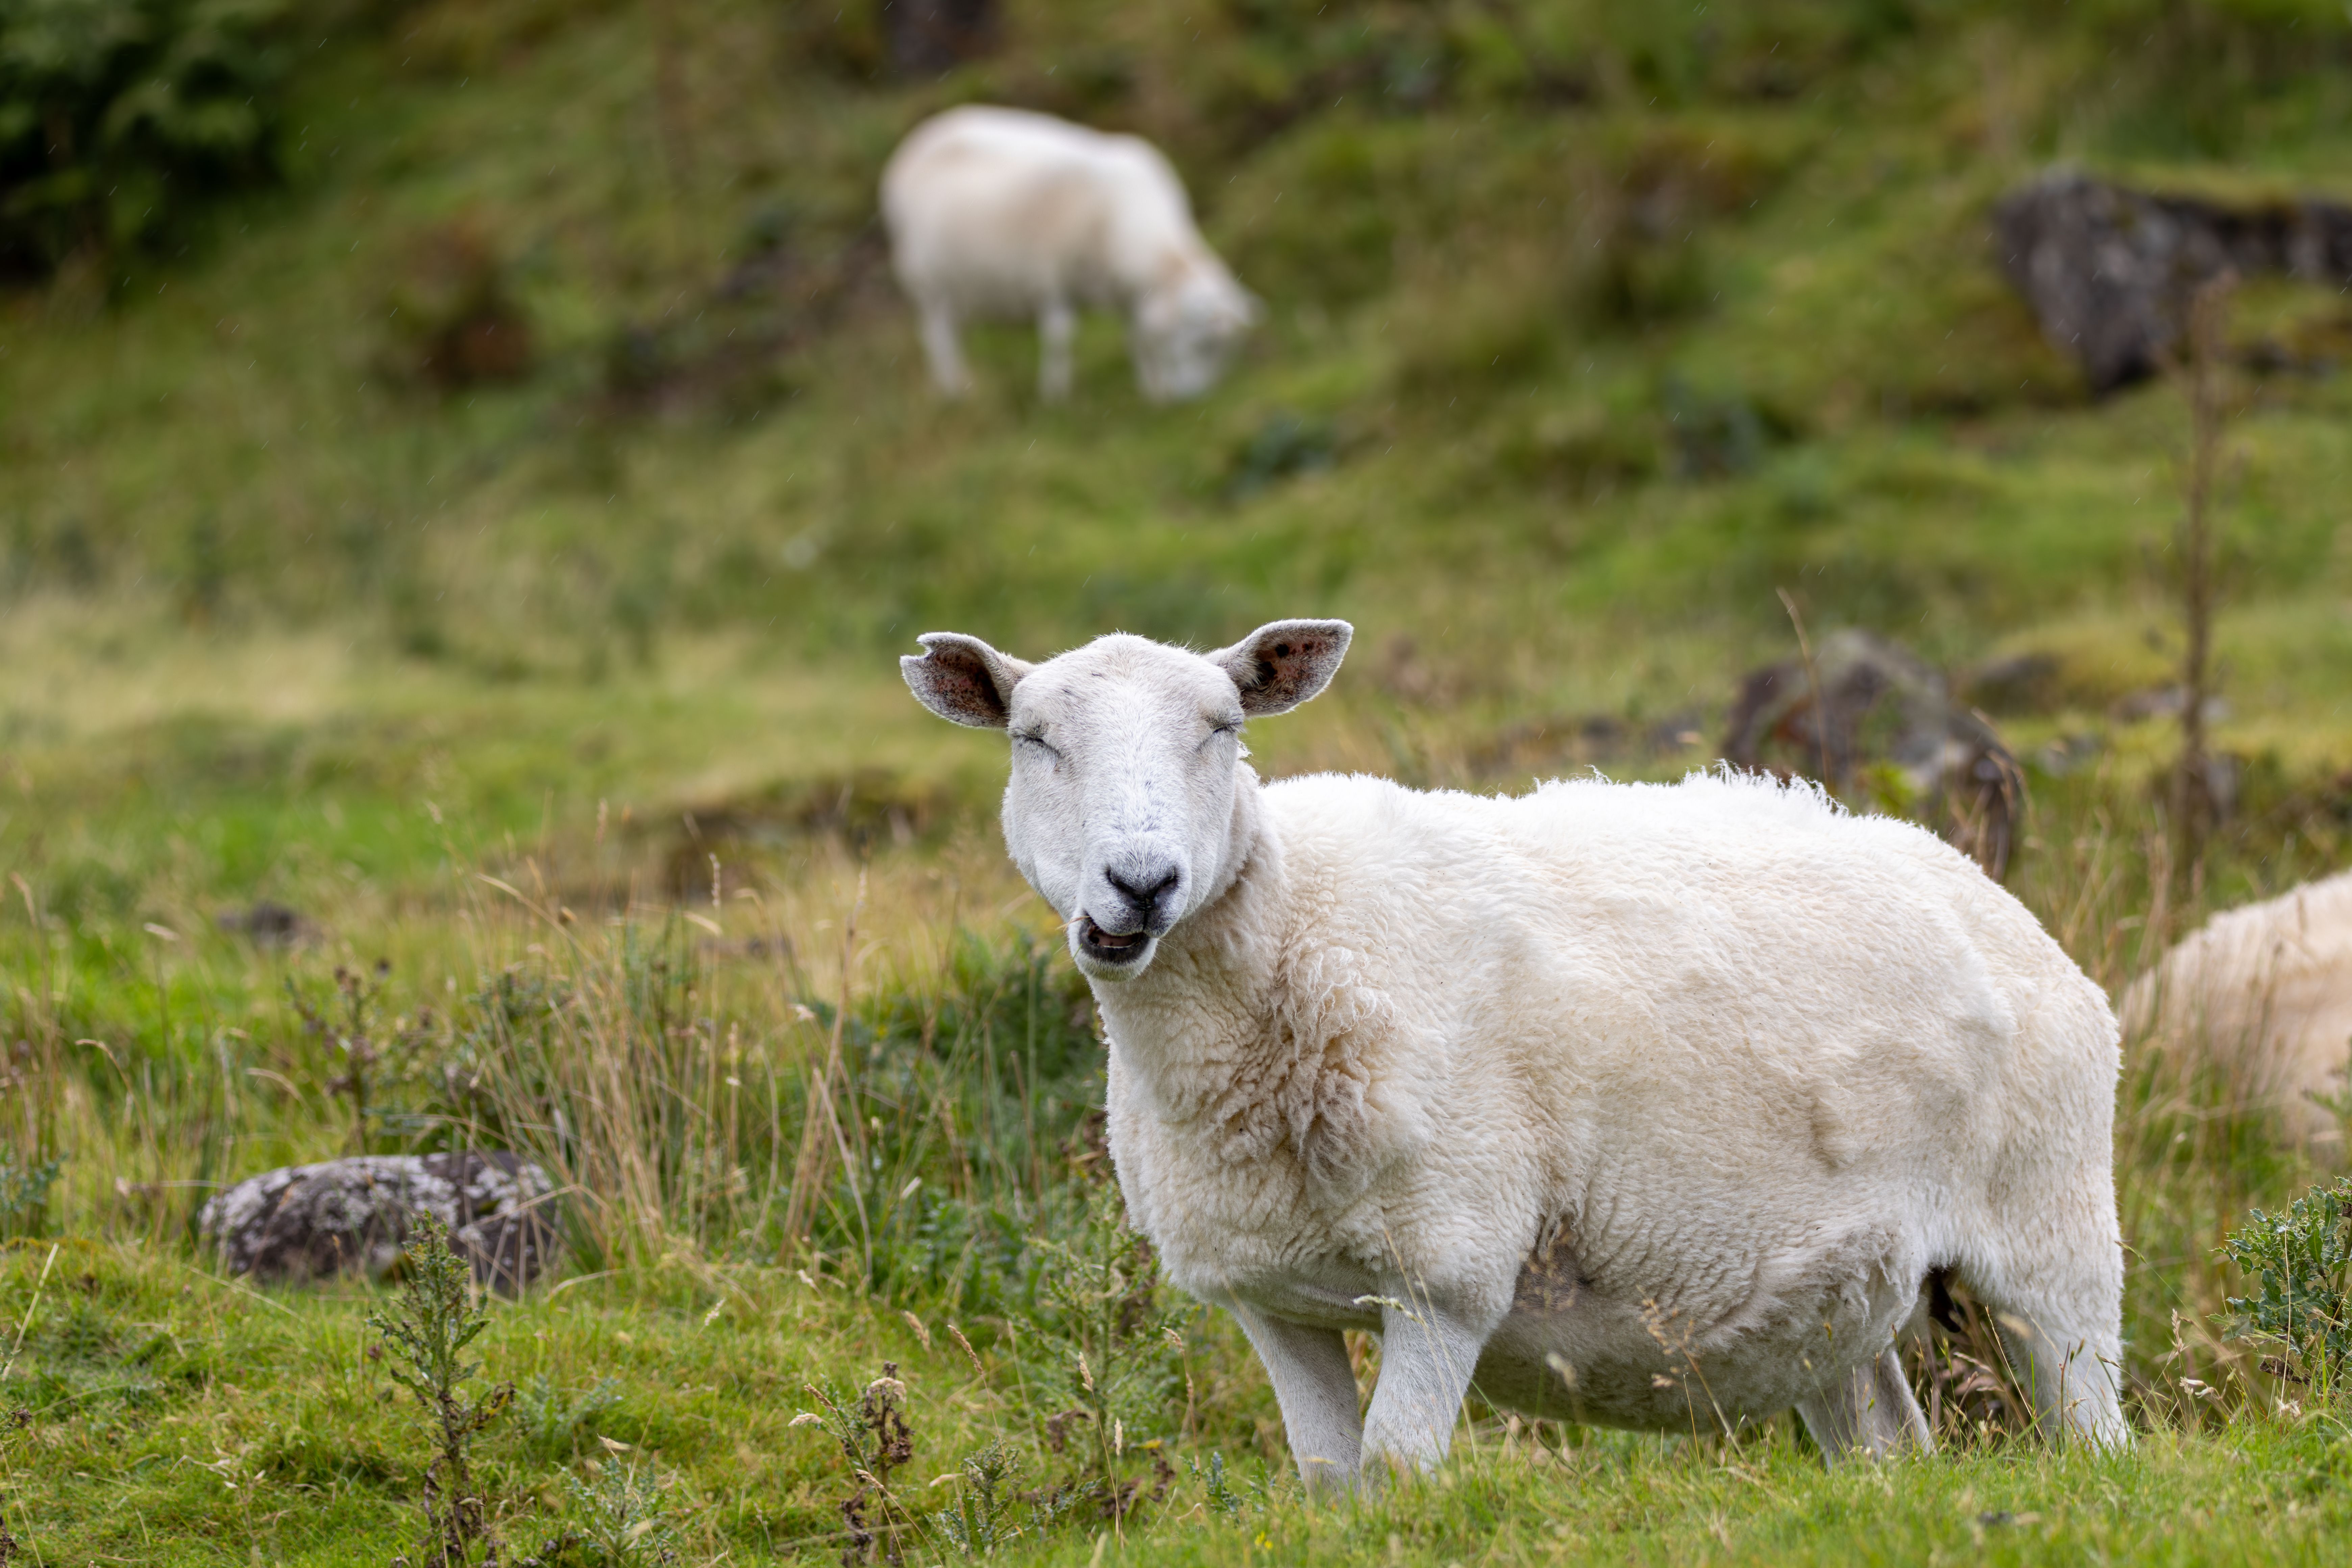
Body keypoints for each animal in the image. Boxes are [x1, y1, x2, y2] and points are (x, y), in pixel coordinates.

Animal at [880, 105, 1258, 403]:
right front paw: (1056, 397)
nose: (1193, 401)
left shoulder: (1127, 292)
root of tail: (916, 141)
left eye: (1226, 353)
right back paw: (954, 392)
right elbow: (1061, 338)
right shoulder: (1050, 277)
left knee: (954, 331)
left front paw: (1152, 391)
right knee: (937, 335)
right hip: (925, 278)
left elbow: (1137, 338)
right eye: (1203, 344)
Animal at [902, 621, 2129, 1490]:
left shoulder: (1445, 1271)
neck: (1300, 937)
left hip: (2050, 1227)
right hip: (1836, 1293)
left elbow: (1399, 1476)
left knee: (2096, 1429)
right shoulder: (1271, 1297)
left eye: (1222, 727)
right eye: (1033, 740)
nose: (1143, 883)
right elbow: (1329, 1483)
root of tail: (1967, 876)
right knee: (1890, 1448)